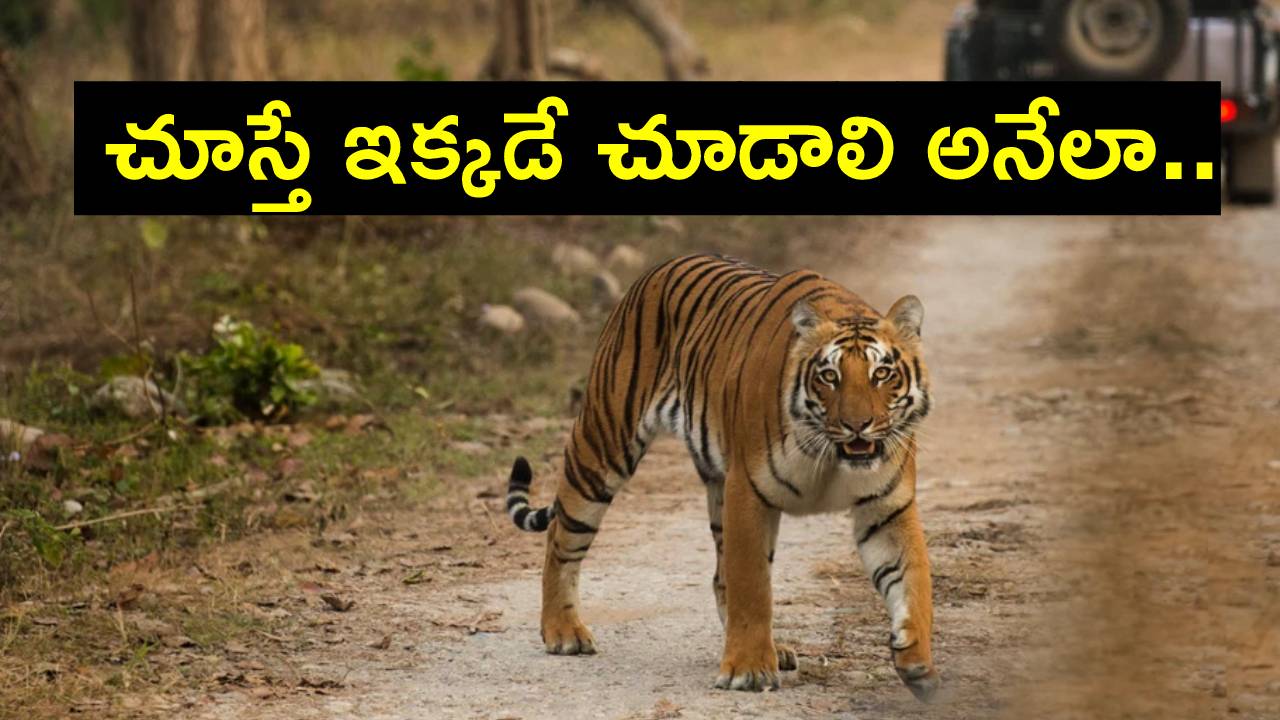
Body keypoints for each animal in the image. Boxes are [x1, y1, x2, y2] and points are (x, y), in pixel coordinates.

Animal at [506, 253, 939, 701]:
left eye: (882, 374)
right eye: (829, 376)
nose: (857, 425)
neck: (832, 456)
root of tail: (658, 268)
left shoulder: (888, 507)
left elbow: (914, 581)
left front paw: (917, 661)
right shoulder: (748, 490)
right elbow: (752, 584)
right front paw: (748, 670)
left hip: (713, 484)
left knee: (718, 575)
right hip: (603, 443)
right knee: (561, 538)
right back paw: (563, 631)